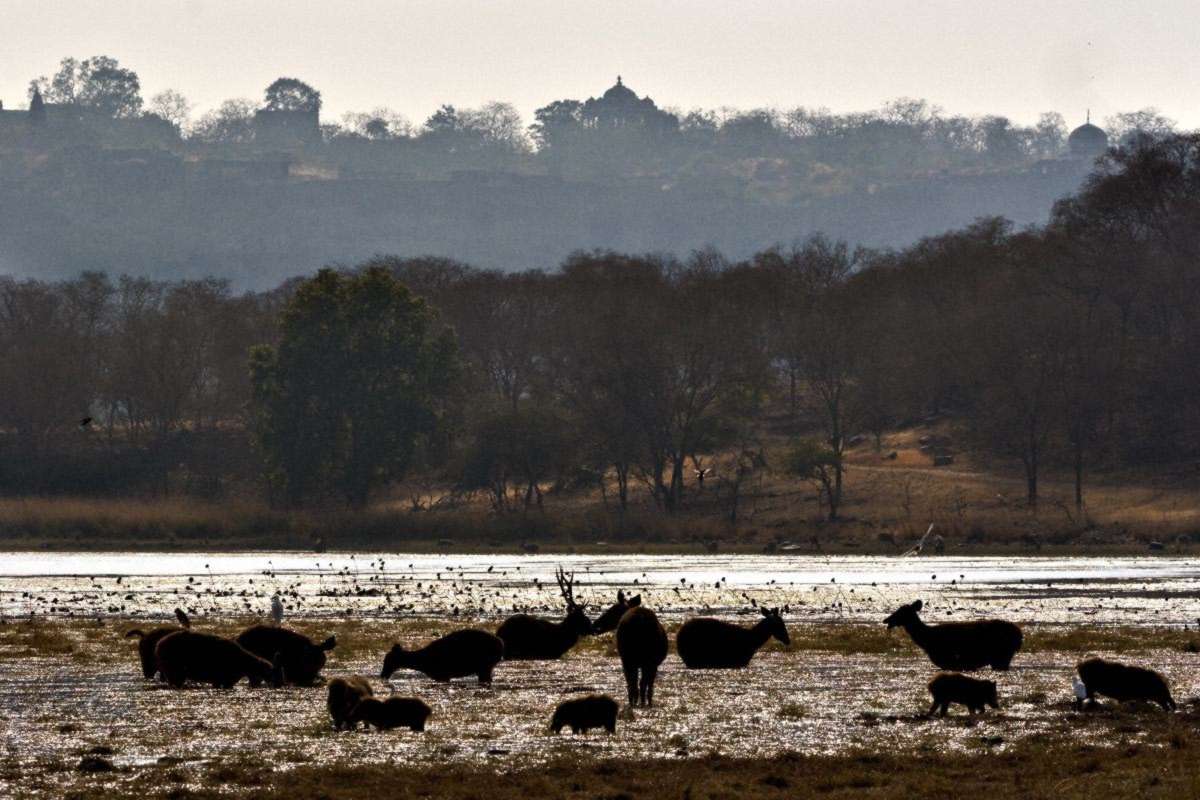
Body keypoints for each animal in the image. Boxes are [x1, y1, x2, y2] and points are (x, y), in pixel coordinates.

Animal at [883, 600, 1022, 671]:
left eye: (901, 612)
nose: (886, 620)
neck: (927, 641)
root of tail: (1019, 635)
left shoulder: (950, 661)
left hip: (1002, 655)